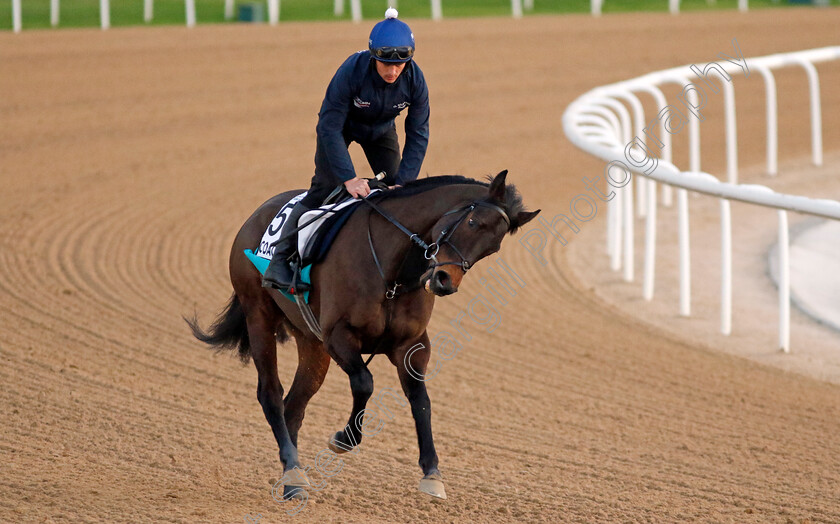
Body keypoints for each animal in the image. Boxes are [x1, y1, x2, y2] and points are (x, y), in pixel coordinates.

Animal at [185, 170, 540, 502]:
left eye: (492, 248)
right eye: (472, 222)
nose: (443, 281)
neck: (395, 271)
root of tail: (257, 214)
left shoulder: (412, 345)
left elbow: (420, 400)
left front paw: (432, 475)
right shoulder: (339, 336)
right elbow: (364, 383)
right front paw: (344, 439)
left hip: (311, 343)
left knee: (294, 407)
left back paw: (291, 474)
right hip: (259, 316)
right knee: (271, 393)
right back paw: (294, 475)